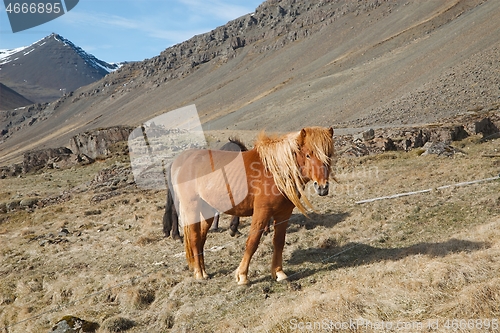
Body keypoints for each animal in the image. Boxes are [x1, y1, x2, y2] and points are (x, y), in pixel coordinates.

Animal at [168, 126, 336, 282]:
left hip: (207, 211)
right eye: (308, 155)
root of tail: (183, 162)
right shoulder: (262, 212)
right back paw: (199, 273)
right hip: (192, 209)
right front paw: (242, 276)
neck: (276, 172)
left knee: (201, 240)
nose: (322, 187)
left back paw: (203, 271)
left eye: (329, 155)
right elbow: (253, 242)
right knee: (195, 238)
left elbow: (279, 242)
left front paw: (279, 273)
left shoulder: (283, 214)